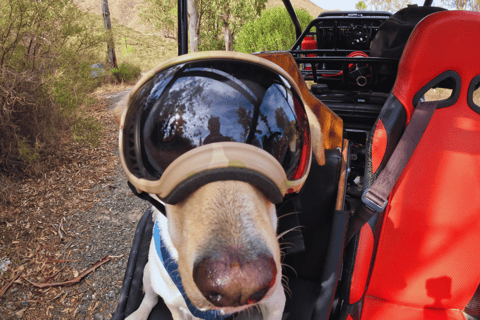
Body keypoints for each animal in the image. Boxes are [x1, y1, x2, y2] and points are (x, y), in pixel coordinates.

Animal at [117, 87, 326, 320]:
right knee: (150, 298)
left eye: (278, 146)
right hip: (147, 272)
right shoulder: (175, 307)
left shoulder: (276, 302)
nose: (239, 284)